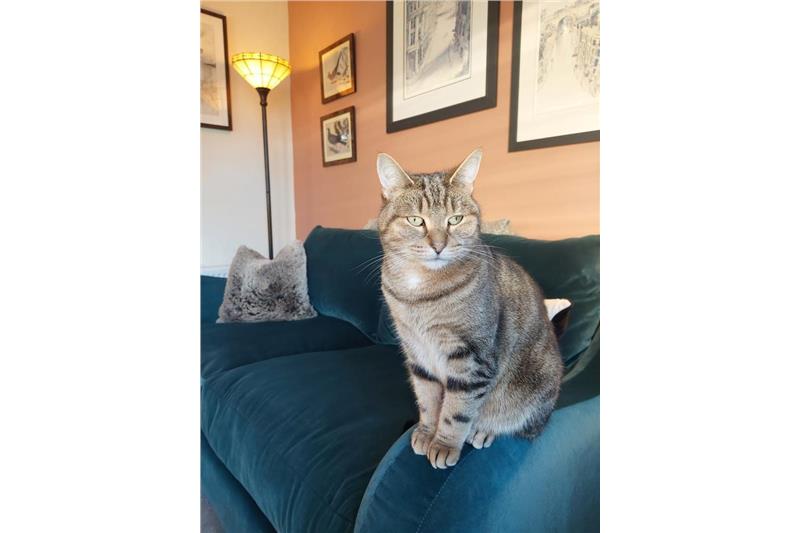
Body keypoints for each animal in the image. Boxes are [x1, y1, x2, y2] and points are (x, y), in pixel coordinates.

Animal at [376, 149, 563, 469]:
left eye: (455, 219)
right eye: (415, 220)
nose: (438, 246)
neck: (419, 291)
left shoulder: (471, 358)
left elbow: (457, 411)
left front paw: (444, 444)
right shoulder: (417, 352)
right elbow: (428, 400)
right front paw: (427, 431)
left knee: (515, 424)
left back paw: (484, 430)